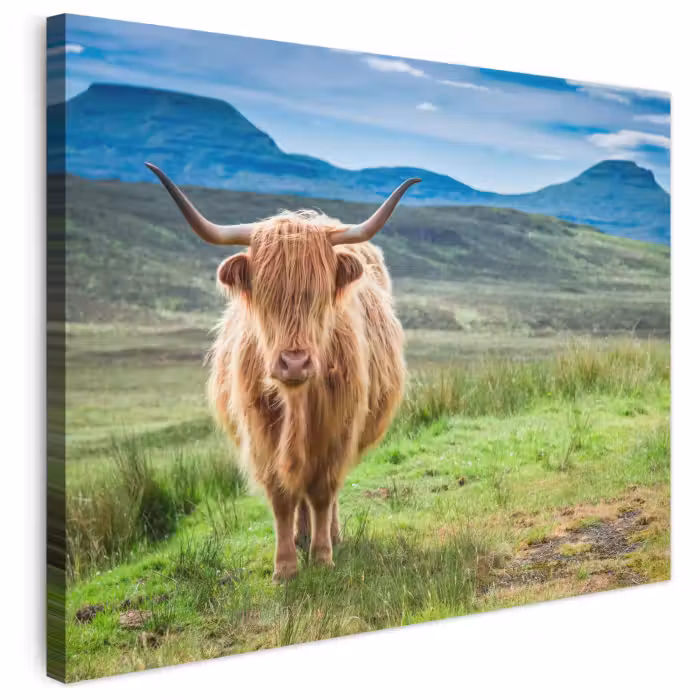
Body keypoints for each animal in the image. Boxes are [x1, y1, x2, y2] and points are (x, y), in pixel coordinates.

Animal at [145, 163, 419, 581]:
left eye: (319, 294)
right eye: (265, 295)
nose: (294, 362)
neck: (297, 403)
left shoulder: (337, 430)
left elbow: (322, 491)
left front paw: (322, 557)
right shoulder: (261, 433)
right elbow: (281, 496)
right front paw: (286, 566)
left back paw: (328, 536)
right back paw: (301, 537)